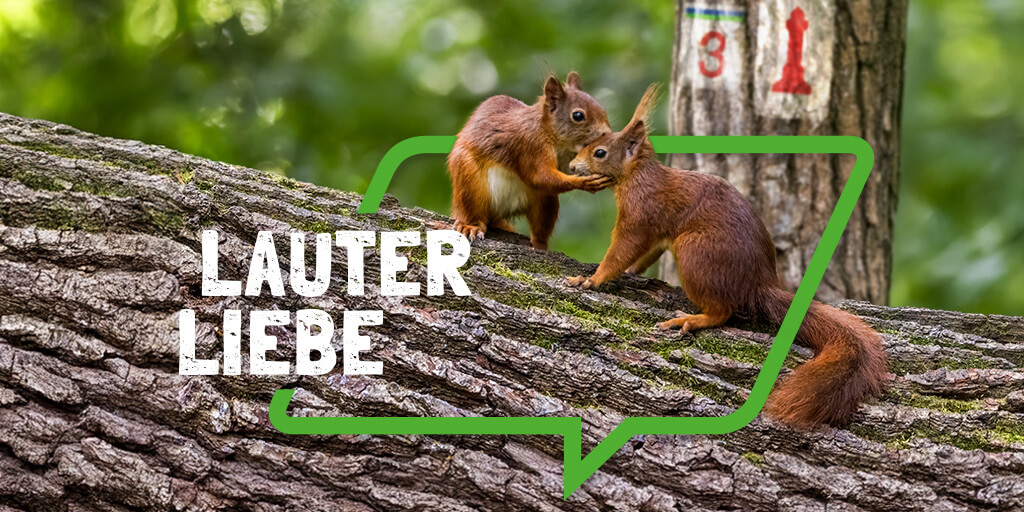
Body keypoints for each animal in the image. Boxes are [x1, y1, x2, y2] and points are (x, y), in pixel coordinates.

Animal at [447, 71, 615, 250]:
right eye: (578, 116)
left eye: (603, 110)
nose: (606, 134)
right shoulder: (530, 144)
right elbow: (539, 176)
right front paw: (585, 182)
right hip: (469, 180)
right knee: (473, 210)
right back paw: (471, 225)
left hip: (545, 200)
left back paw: (540, 244)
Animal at [565, 85, 888, 427]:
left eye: (600, 153)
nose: (572, 167)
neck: (638, 174)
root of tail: (758, 285)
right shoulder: (656, 234)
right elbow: (646, 253)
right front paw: (629, 273)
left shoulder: (641, 215)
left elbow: (622, 250)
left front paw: (591, 279)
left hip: (695, 253)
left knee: (723, 312)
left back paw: (692, 319)